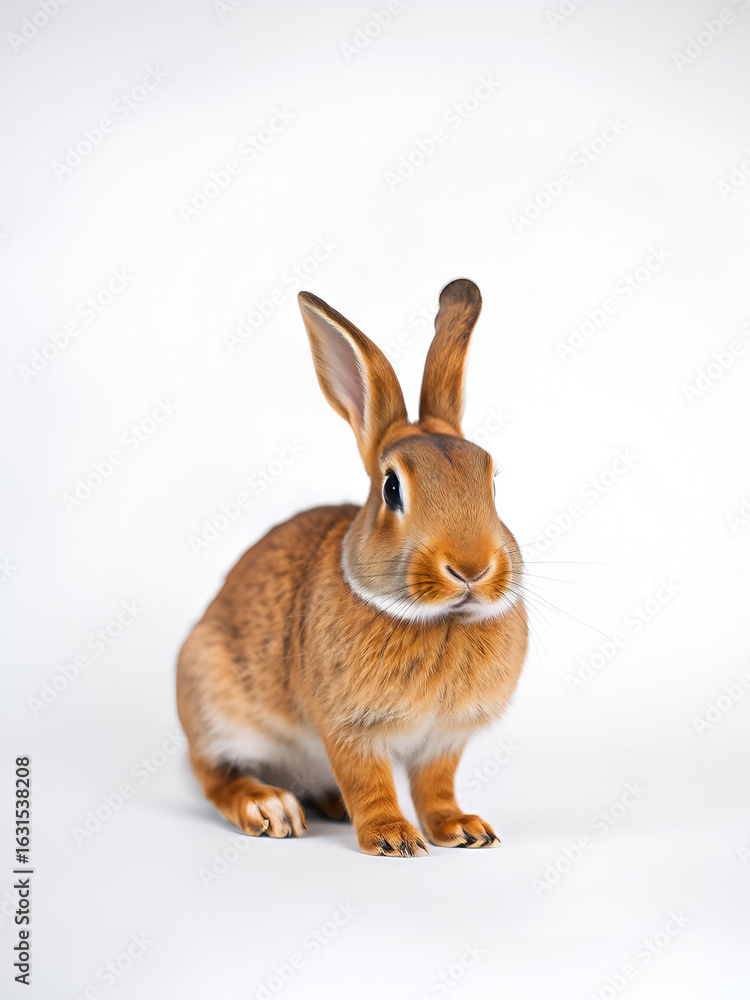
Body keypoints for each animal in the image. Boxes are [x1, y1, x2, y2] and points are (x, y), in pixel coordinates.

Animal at [176, 278, 528, 856]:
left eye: (493, 481)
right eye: (392, 488)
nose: (471, 569)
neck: (442, 620)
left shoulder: (445, 739)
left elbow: (436, 786)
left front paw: (462, 830)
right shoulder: (349, 729)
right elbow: (368, 780)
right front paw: (393, 838)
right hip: (213, 701)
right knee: (216, 776)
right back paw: (270, 808)